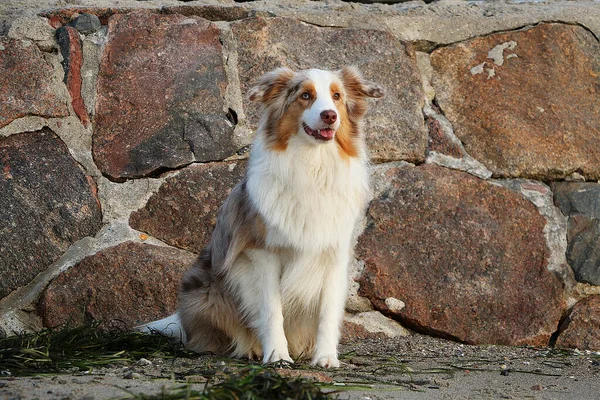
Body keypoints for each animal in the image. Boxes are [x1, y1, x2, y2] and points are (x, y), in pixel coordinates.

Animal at [143, 66, 382, 368]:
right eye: (306, 96)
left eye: (337, 96)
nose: (330, 115)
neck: (313, 166)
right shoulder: (262, 254)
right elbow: (271, 310)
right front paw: (277, 355)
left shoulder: (335, 254)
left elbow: (328, 313)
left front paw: (326, 357)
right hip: (207, 293)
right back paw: (249, 350)